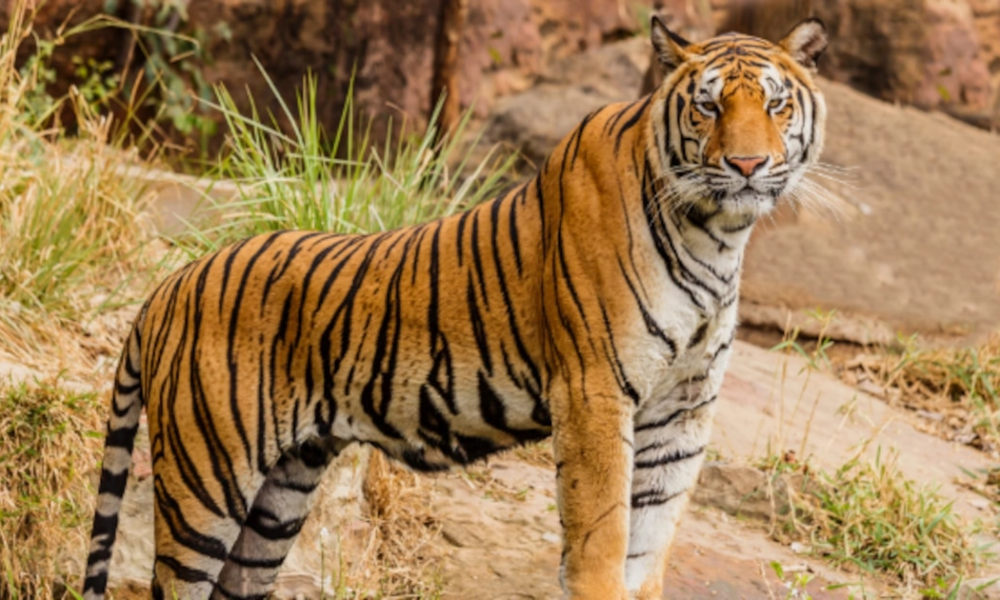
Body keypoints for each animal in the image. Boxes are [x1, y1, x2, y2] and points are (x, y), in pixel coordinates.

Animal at [83, 15, 828, 600]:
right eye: (708, 107)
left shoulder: (683, 410)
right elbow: (602, 538)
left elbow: (648, 545)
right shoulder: (595, 393)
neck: (716, 235)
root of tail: (168, 286)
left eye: (776, 106)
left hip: (280, 495)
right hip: (206, 480)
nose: (747, 166)